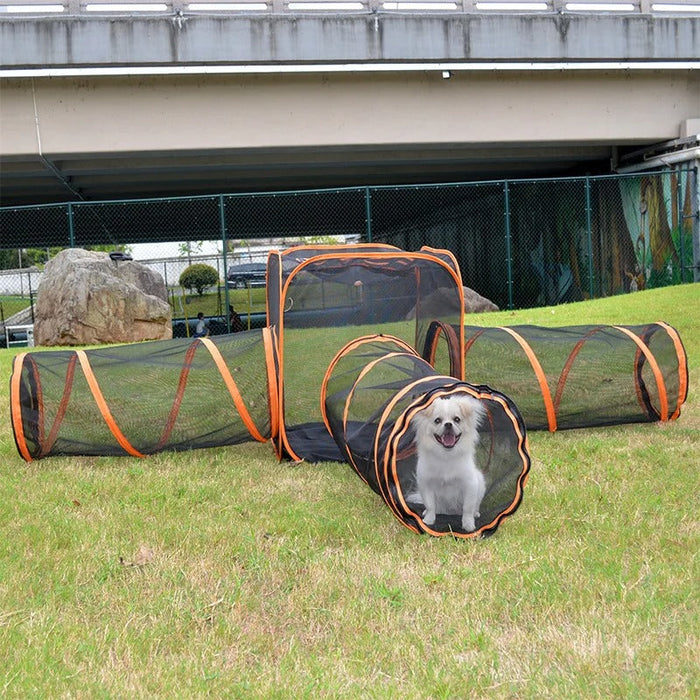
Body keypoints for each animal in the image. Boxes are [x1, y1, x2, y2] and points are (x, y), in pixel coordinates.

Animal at [410, 394, 486, 532]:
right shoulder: (426, 484)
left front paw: (468, 525)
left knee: (475, 506)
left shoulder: (470, 485)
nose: (448, 424)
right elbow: (430, 505)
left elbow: (467, 508)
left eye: (457, 419)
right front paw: (428, 521)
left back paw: (475, 513)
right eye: (437, 421)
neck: (446, 455)